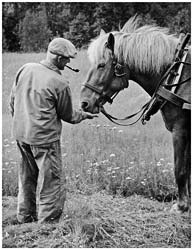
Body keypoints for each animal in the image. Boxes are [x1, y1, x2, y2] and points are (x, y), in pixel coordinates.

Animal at [79, 15, 190, 213]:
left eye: (101, 65)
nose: (84, 103)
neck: (177, 75)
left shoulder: (180, 129)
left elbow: (181, 169)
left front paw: (181, 206)